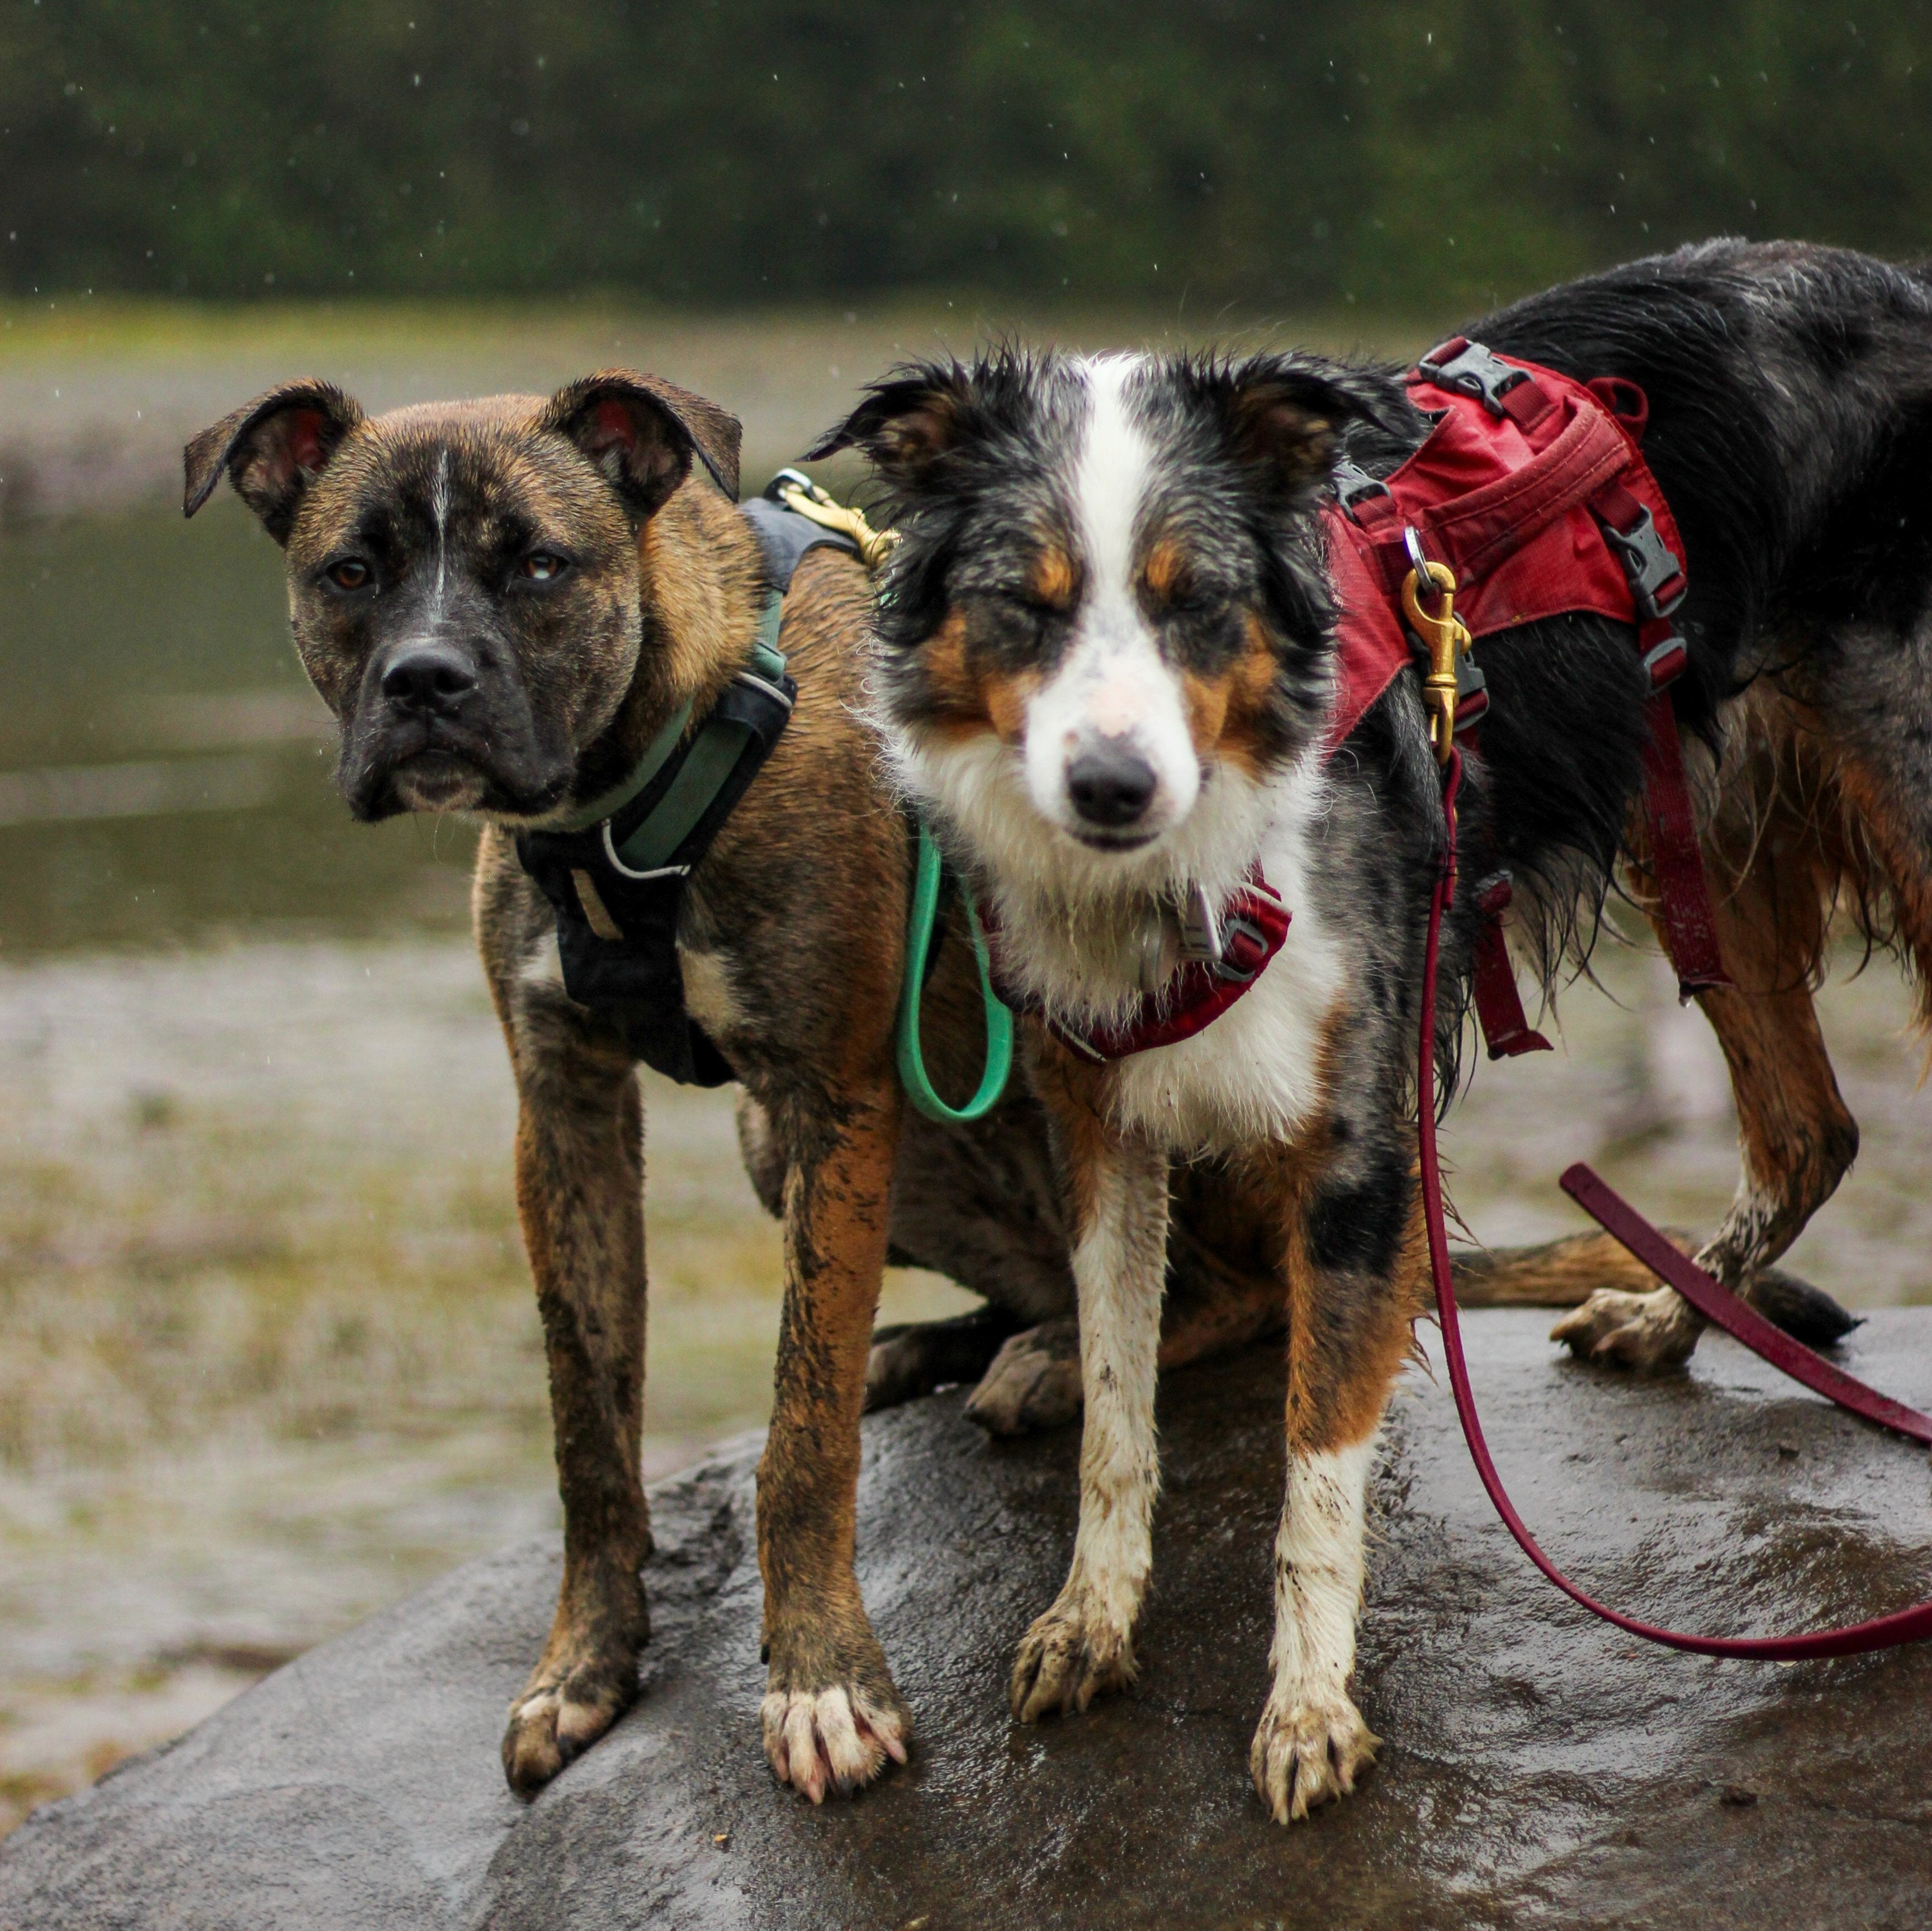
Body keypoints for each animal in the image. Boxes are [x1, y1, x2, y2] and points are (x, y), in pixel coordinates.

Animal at [823, 234, 1932, 1815]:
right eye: (1024, 606)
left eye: (1195, 603)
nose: (1110, 786)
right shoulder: (1097, 1112)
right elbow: (1114, 1397)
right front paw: (1090, 1616)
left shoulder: (1361, 1134)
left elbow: (1316, 1459)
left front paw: (1307, 1709)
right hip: (1704, 834)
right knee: (1809, 1130)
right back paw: (1669, 1314)